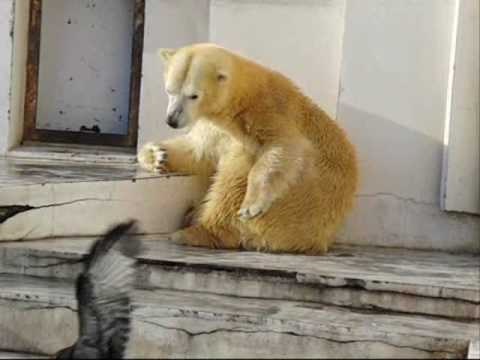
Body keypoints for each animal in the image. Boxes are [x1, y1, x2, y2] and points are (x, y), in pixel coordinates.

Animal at [138, 43, 356, 255]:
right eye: (169, 90)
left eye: (193, 95)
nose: (172, 120)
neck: (241, 98)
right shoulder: (215, 127)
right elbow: (199, 149)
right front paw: (157, 156)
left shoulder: (268, 112)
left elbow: (283, 147)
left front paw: (252, 206)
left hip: (296, 207)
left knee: (232, 185)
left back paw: (194, 231)